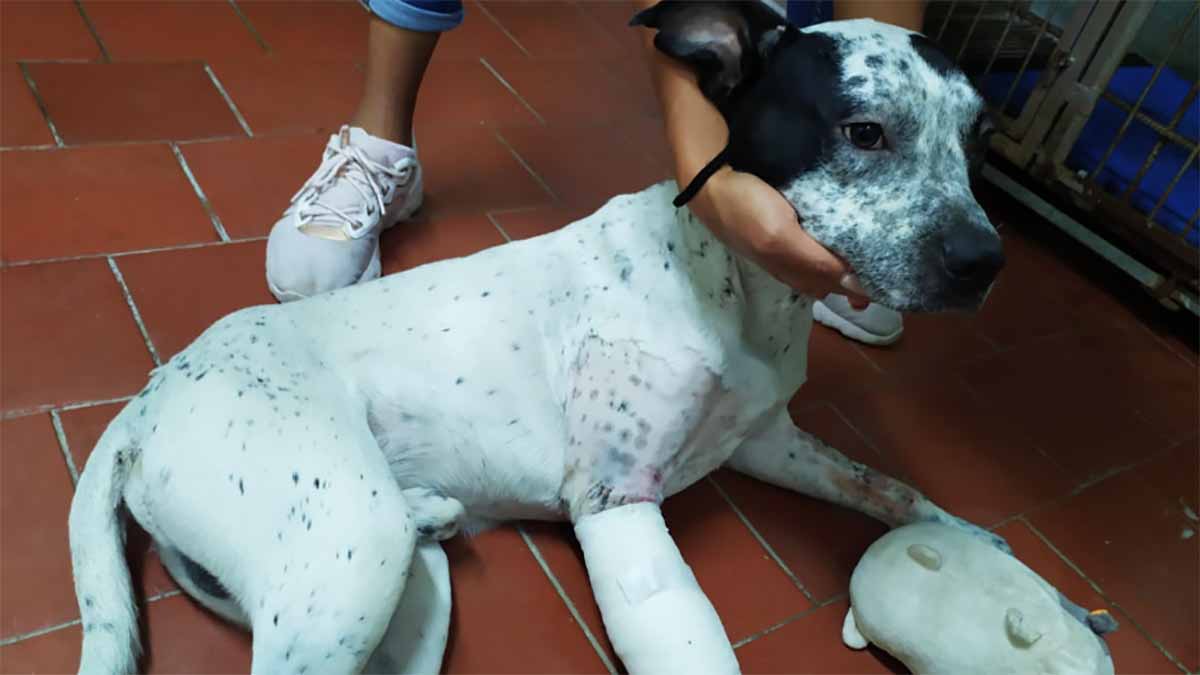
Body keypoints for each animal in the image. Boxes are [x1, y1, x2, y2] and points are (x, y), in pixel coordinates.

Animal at [69, 2, 1013, 673]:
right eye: (865, 132)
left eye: (975, 142)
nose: (987, 262)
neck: (734, 285)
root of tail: (146, 397)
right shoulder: (615, 502)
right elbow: (696, 646)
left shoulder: (766, 441)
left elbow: (888, 486)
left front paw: (975, 542)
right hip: (354, 555)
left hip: (406, 597)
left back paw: (435, 510)